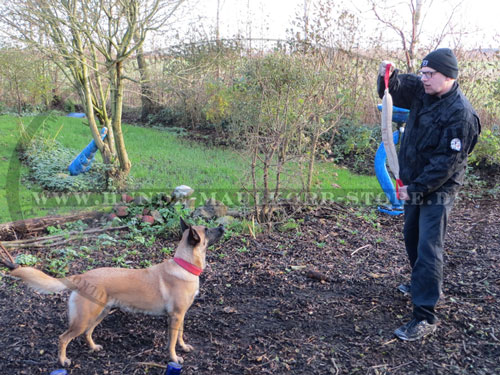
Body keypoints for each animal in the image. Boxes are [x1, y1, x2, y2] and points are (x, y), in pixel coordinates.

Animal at [0, 219, 223, 368]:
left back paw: (93, 348)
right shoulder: (175, 316)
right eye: (207, 229)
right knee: (63, 338)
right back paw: (63, 360)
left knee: (87, 333)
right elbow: (171, 342)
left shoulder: (181, 315)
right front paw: (174, 358)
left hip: (100, 313)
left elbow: (180, 336)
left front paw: (183, 347)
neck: (185, 265)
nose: (222, 227)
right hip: (84, 318)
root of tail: (80, 276)